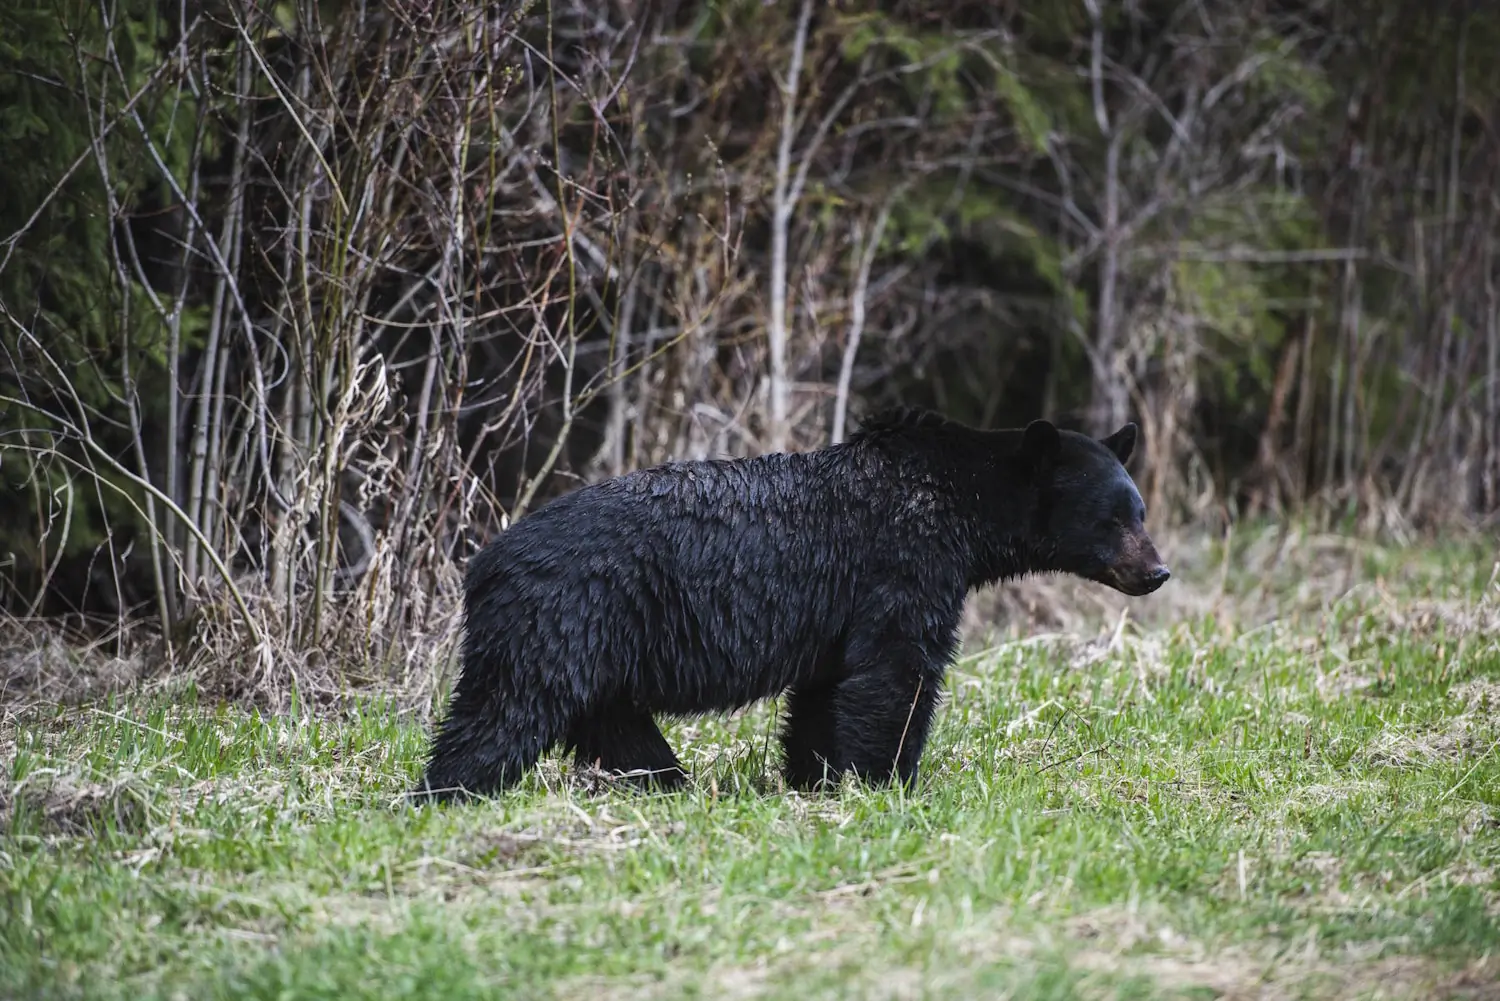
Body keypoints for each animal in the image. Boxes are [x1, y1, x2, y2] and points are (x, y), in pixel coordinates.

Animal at [412, 408, 1170, 803]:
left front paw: (816, 777)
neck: (961, 503)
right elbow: (895, 673)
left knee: (611, 720)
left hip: (597, 645)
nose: (1157, 571)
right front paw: (887, 780)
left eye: (1139, 510)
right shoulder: (902, 562)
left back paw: (666, 783)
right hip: (558, 618)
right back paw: (445, 794)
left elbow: (826, 691)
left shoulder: (841, 611)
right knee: (504, 711)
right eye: (1112, 518)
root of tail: (482, 564)